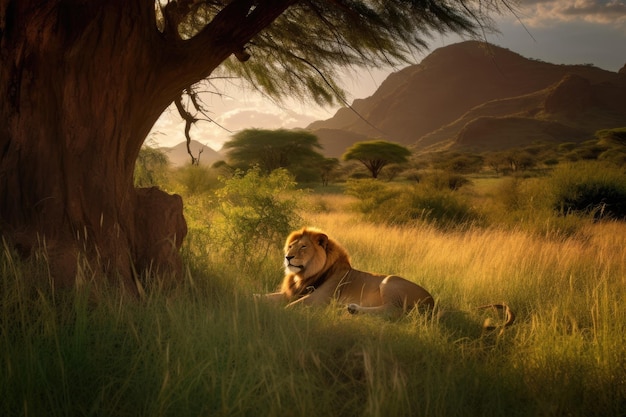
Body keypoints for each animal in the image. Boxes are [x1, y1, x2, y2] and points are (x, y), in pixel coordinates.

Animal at [260, 226, 516, 326]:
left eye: (303, 247)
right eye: (291, 245)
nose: (288, 257)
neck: (303, 276)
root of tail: (433, 302)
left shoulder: (319, 299)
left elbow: (291, 308)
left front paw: (280, 316)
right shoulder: (291, 293)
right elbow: (264, 297)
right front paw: (252, 300)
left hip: (389, 281)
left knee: (394, 312)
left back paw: (350, 311)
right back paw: (351, 310)